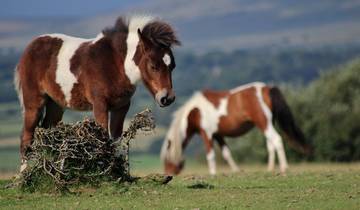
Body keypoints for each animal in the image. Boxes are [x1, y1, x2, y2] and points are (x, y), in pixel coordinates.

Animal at [14, 15, 180, 172]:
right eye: (153, 66)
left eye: (172, 66)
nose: (167, 98)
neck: (116, 63)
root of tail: (29, 48)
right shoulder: (100, 105)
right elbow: (103, 138)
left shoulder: (121, 107)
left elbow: (115, 140)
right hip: (34, 103)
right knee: (26, 138)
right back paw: (24, 175)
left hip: (56, 105)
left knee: (47, 133)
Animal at [161, 82, 312, 176]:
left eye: (166, 159)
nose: (168, 174)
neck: (196, 111)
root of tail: (267, 89)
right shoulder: (218, 135)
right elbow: (227, 153)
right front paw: (236, 170)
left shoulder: (207, 134)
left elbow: (210, 155)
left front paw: (212, 173)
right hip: (267, 124)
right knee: (270, 144)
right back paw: (270, 169)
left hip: (264, 123)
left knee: (277, 140)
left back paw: (284, 167)